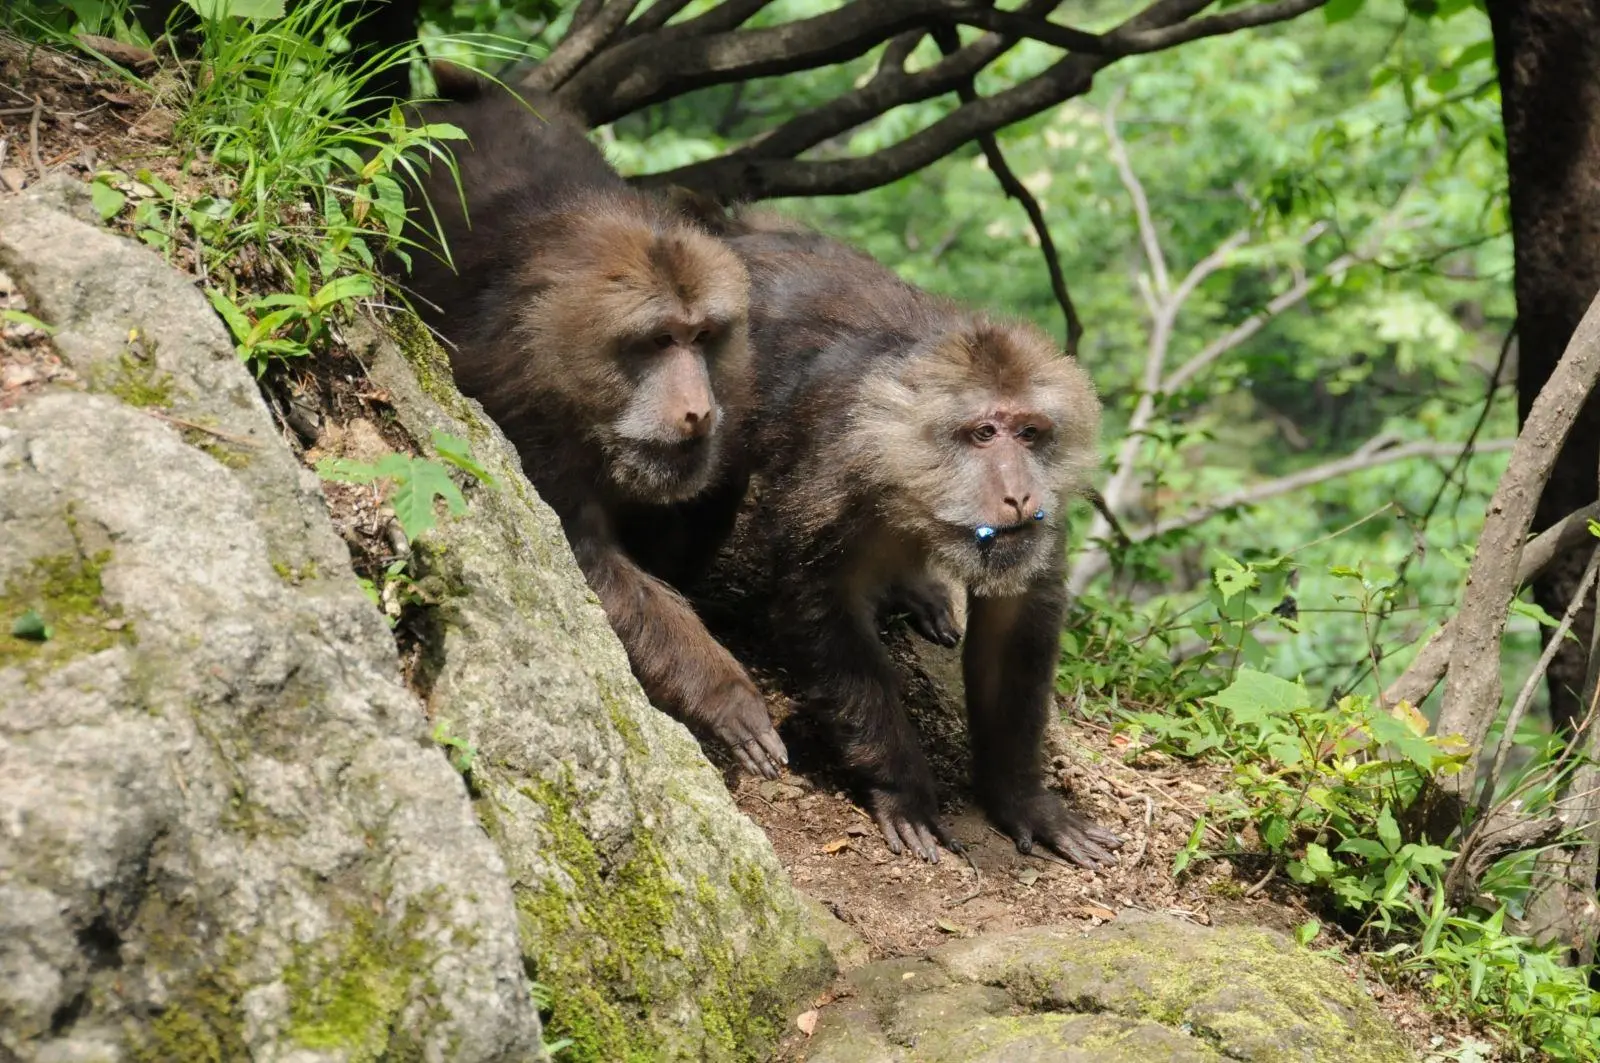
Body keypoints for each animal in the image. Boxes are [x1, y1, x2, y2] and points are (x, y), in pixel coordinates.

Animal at [390, 78, 784, 778]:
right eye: (659, 341)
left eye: (703, 337)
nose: (698, 410)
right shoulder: (522, 412)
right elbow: (585, 565)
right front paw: (725, 693)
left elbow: (715, 479)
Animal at [720, 211, 1120, 870]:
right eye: (983, 434)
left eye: (1029, 433)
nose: (1018, 494)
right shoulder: (834, 482)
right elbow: (821, 611)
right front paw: (904, 791)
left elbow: (1014, 621)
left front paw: (1022, 799)